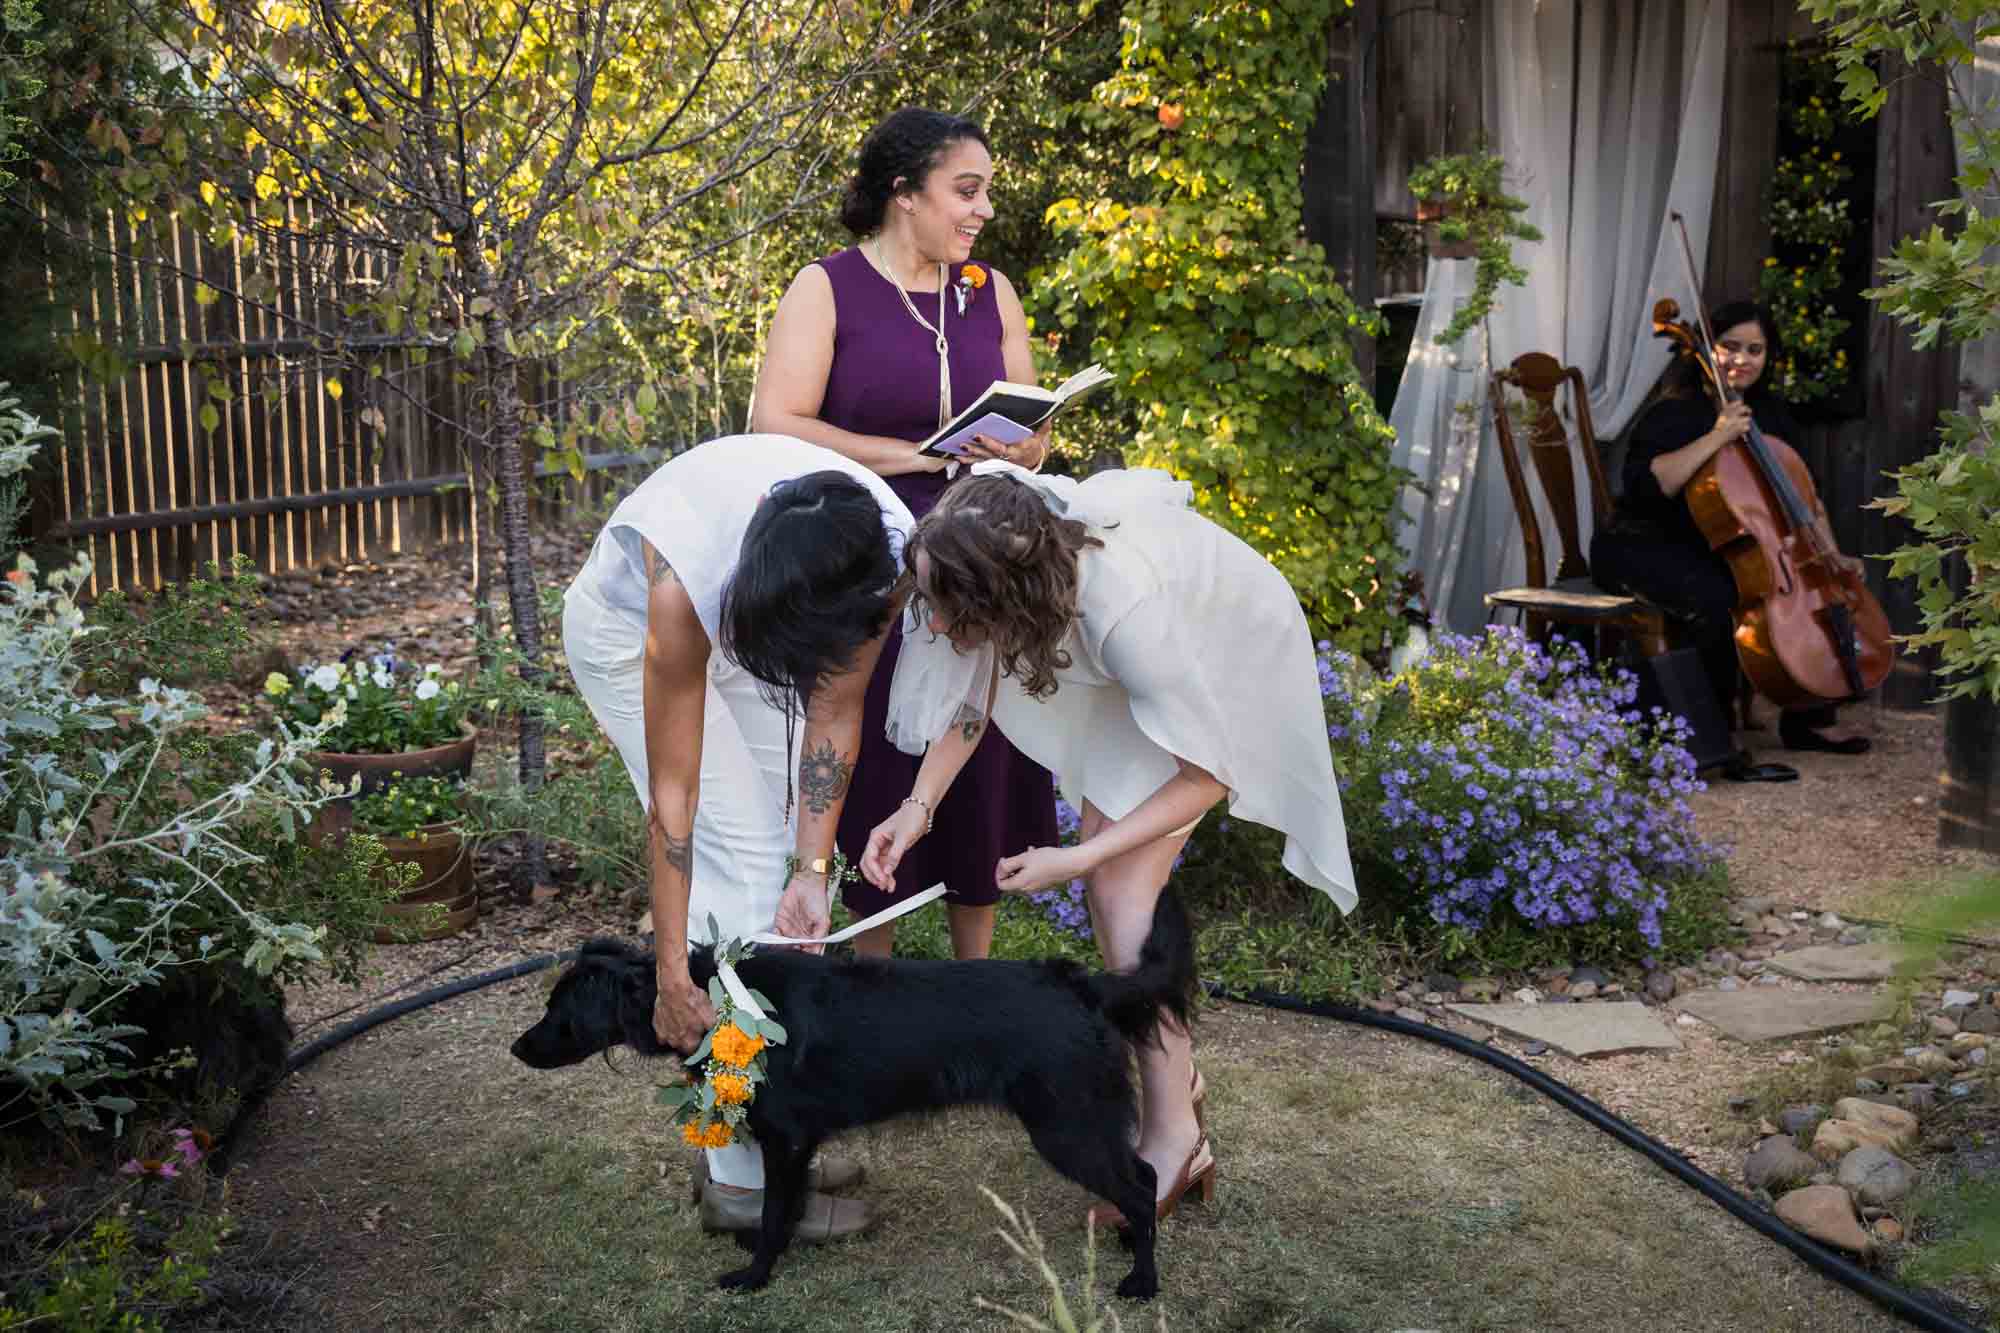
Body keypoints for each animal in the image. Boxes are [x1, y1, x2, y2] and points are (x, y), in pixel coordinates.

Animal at [512, 888, 1184, 1288]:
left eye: (556, 1010)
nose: (517, 1048)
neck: (720, 997)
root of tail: (1082, 983)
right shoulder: (798, 1141)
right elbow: (784, 1206)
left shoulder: (784, 1139)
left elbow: (774, 1213)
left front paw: (754, 1276)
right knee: (1143, 1178)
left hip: (1067, 1124)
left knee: (1140, 1182)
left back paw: (1143, 1281)